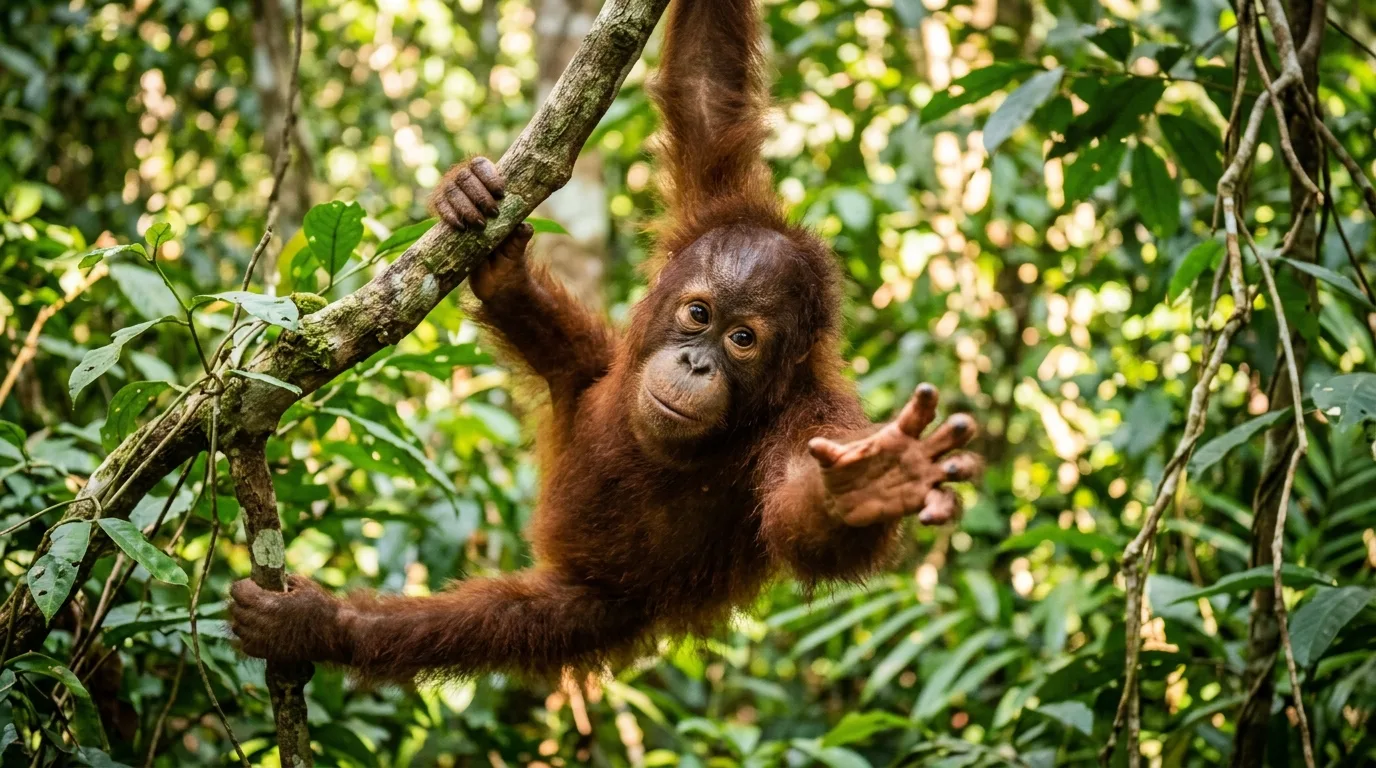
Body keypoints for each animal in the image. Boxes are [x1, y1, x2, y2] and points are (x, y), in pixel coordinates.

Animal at [229, 0, 983, 683]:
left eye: (743, 339)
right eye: (699, 314)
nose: (696, 362)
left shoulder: (811, 417)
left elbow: (811, 525)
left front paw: (869, 483)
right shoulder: (714, 209)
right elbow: (707, 90)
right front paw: (877, 476)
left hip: (605, 604)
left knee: (510, 620)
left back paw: (317, 625)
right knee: (579, 367)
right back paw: (494, 256)